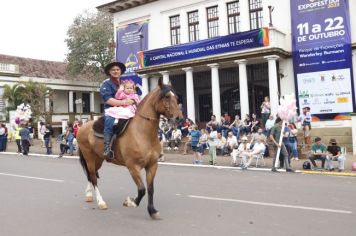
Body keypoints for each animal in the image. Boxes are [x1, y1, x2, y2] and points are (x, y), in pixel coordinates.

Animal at [77, 79, 182, 219]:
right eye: (166, 96)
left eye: (176, 97)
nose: (179, 118)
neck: (143, 133)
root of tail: (82, 127)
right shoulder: (133, 167)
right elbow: (142, 189)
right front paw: (130, 202)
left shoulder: (152, 165)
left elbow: (150, 189)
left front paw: (152, 210)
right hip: (89, 157)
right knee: (93, 177)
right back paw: (101, 202)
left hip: (98, 159)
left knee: (90, 175)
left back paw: (89, 195)